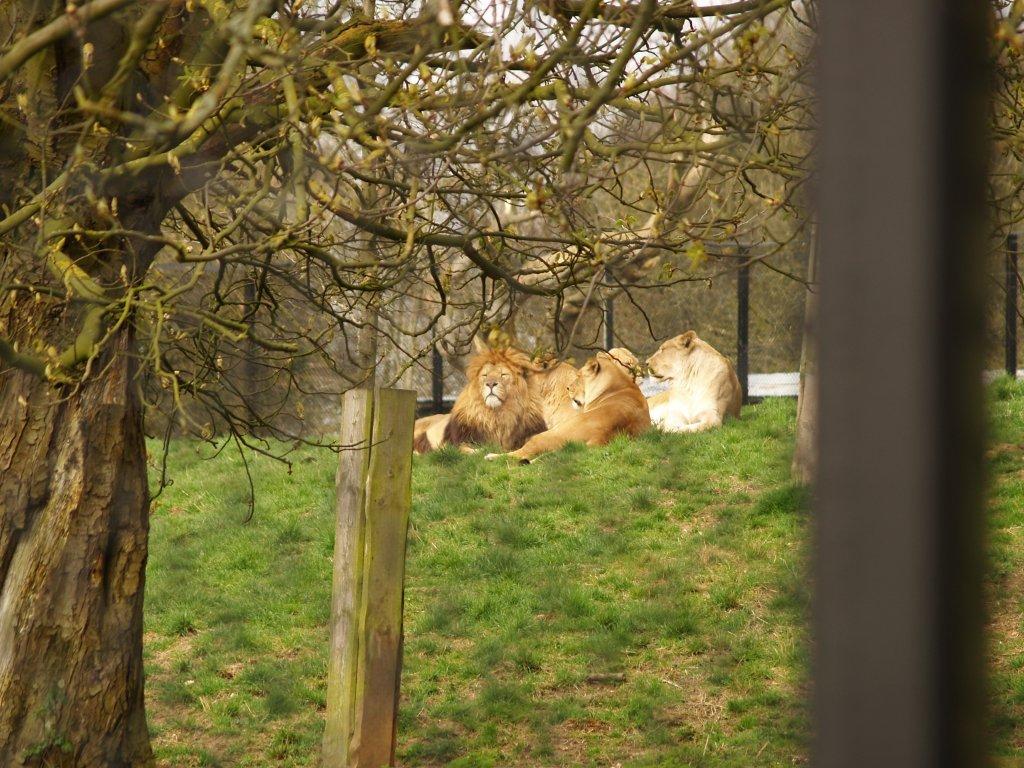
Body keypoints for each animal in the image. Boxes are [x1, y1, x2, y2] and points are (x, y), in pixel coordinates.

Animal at [485, 353, 651, 464]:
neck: (617, 386)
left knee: (520, 454)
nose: (568, 388)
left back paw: (491, 456)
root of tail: (601, 437)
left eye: (579, 377)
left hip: (544, 436)